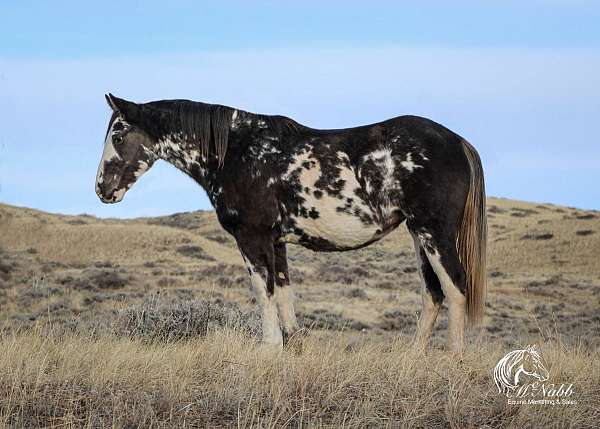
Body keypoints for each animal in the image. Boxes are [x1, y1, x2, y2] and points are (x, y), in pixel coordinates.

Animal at [95, 93, 488, 352]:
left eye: (118, 135)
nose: (102, 188)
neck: (238, 151)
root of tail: (458, 142)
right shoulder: (277, 240)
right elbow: (284, 293)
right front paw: (292, 345)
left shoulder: (252, 237)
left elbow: (263, 290)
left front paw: (269, 347)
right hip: (419, 235)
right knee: (432, 293)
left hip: (433, 231)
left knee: (455, 288)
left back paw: (453, 357)